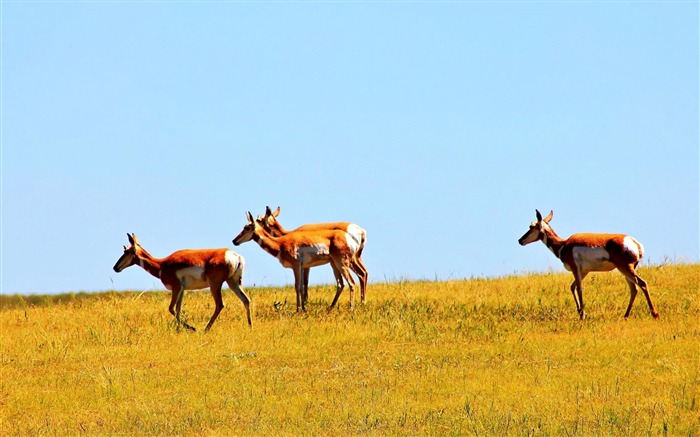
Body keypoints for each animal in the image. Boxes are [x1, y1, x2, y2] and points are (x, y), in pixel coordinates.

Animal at [109, 232, 252, 330]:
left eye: (126, 251)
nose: (115, 267)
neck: (162, 264)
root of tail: (233, 254)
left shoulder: (176, 288)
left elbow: (171, 309)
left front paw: (192, 328)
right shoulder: (182, 290)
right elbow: (178, 310)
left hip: (215, 285)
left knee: (220, 305)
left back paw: (205, 329)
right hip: (233, 283)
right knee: (246, 300)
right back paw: (250, 327)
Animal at [516, 209, 660, 318]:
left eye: (531, 226)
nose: (520, 240)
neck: (563, 245)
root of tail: (633, 242)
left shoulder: (576, 269)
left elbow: (579, 289)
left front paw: (583, 315)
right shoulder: (584, 271)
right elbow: (572, 287)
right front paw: (580, 312)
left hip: (625, 268)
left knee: (642, 284)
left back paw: (654, 314)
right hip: (625, 270)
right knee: (634, 288)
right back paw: (625, 315)